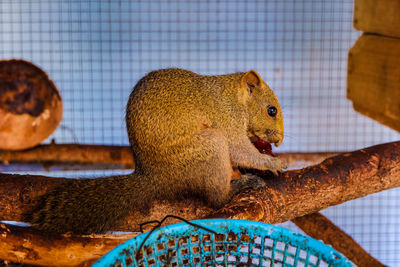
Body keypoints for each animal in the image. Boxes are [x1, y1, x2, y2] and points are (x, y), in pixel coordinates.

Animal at [25, 68, 286, 234]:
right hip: (208, 147)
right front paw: (271, 163)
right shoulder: (226, 118)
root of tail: (154, 178)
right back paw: (237, 186)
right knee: (215, 199)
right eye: (271, 110)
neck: (235, 99)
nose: (280, 140)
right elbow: (238, 149)